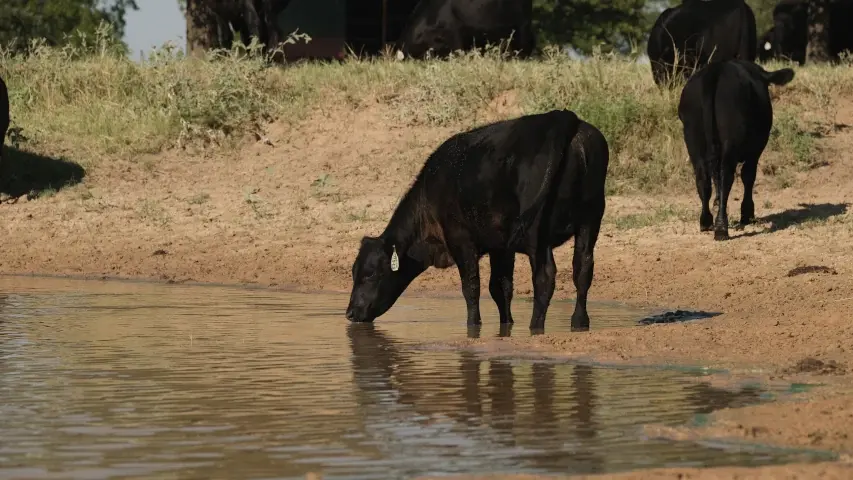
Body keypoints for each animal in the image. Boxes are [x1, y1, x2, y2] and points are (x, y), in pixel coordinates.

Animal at [342, 110, 608, 332]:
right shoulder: (501, 246)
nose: (350, 313)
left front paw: (473, 325)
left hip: (537, 233)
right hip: (591, 217)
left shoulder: (460, 239)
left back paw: (536, 326)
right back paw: (579, 322)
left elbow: (471, 287)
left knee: (544, 277)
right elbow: (500, 287)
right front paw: (506, 325)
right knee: (583, 268)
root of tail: (561, 117)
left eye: (370, 274)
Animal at [676, 60, 796, 240]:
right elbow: (748, 176)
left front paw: (718, 203)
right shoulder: (756, 149)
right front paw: (747, 213)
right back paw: (721, 227)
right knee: (726, 176)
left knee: (703, 178)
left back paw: (706, 221)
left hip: (693, 139)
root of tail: (715, 69)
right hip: (730, 140)